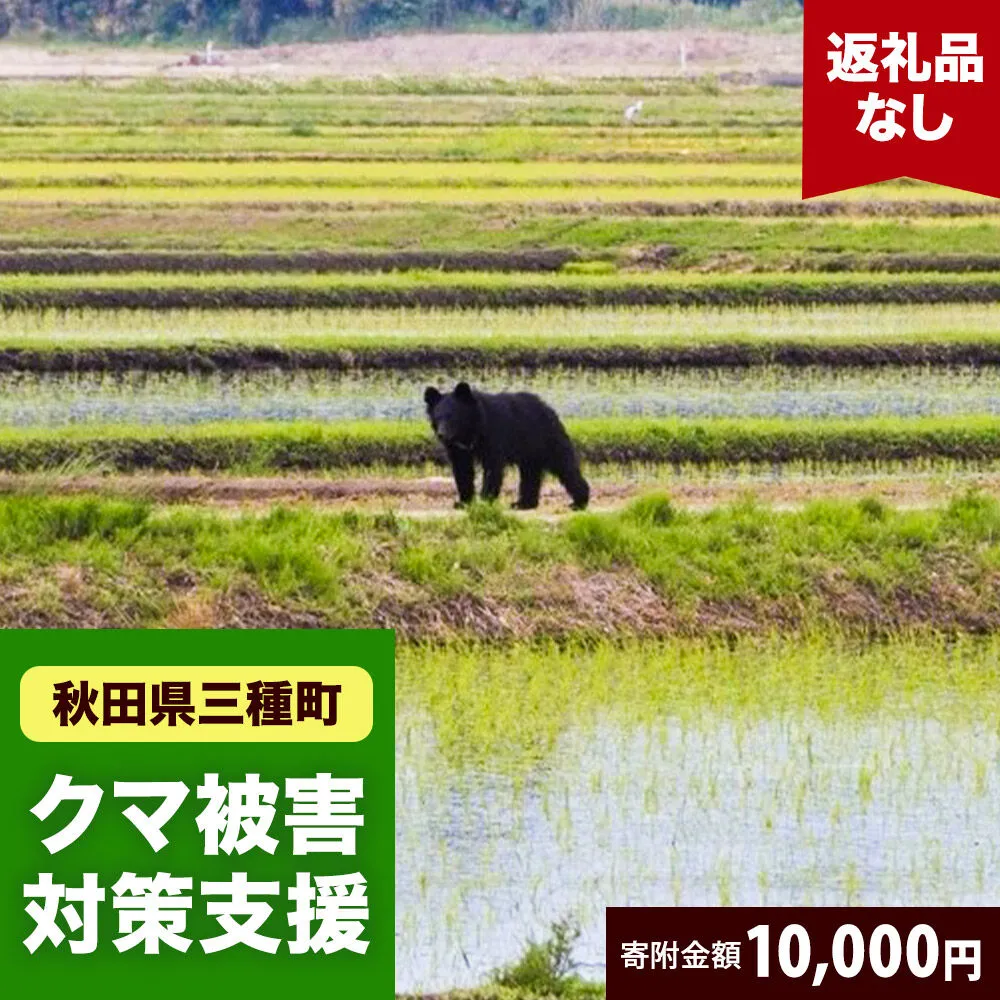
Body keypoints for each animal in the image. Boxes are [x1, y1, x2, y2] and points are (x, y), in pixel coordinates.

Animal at [424, 381, 590, 510]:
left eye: (452, 417)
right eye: (437, 417)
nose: (442, 434)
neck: (470, 430)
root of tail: (548, 408)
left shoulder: (494, 434)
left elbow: (492, 468)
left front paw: (485, 500)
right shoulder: (458, 448)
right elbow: (462, 470)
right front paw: (463, 502)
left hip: (547, 438)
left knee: (564, 466)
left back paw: (578, 502)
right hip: (530, 450)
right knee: (530, 473)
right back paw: (523, 504)